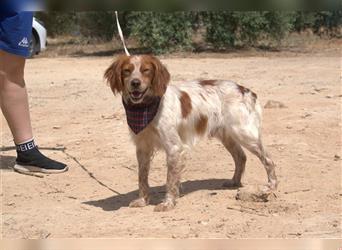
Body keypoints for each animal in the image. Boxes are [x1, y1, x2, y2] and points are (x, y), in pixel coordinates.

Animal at [105, 54, 278, 211]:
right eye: (127, 71)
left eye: (146, 70)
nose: (135, 83)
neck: (146, 107)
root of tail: (246, 90)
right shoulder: (142, 147)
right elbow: (142, 177)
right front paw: (142, 200)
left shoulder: (174, 148)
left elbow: (170, 180)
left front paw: (168, 203)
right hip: (227, 136)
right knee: (241, 157)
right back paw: (234, 182)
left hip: (245, 134)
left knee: (269, 160)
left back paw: (271, 186)